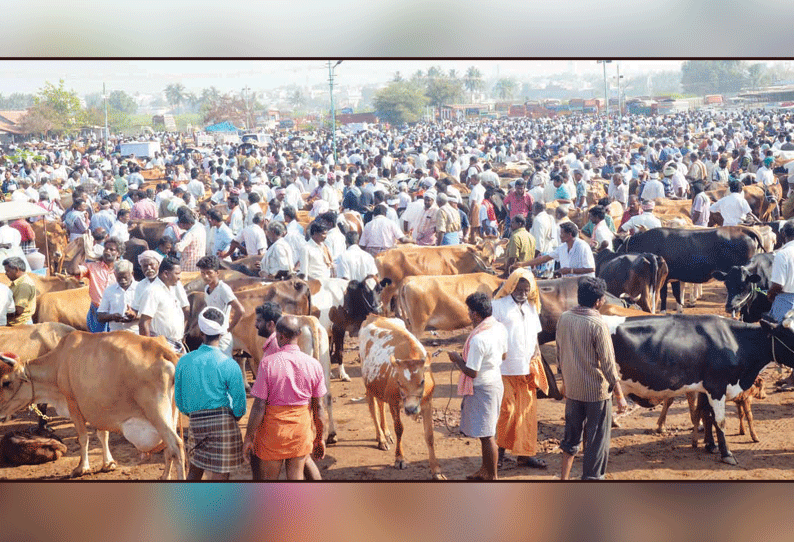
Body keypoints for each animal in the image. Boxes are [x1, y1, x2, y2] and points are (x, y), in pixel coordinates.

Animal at [356, 316, 442, 482]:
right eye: (399, 382)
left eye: (422, 381)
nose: (411, 409)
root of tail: (373, 316)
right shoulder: (394, 402)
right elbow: (399, 429)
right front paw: (400, 458)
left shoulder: (427, 402)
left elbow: (429, 435)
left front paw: (436, 471)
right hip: (368, 384)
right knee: (373, 408)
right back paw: (381, 439)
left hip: (380, 386)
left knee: (380, 404)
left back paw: (386, 434)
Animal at [604, 314, 792, 468]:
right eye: (788, 334)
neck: (735, 342)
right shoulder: (717, 387)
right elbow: (720, 421)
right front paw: (726, 454)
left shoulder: (706, 389)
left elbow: (708, 416)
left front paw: (710, 445)